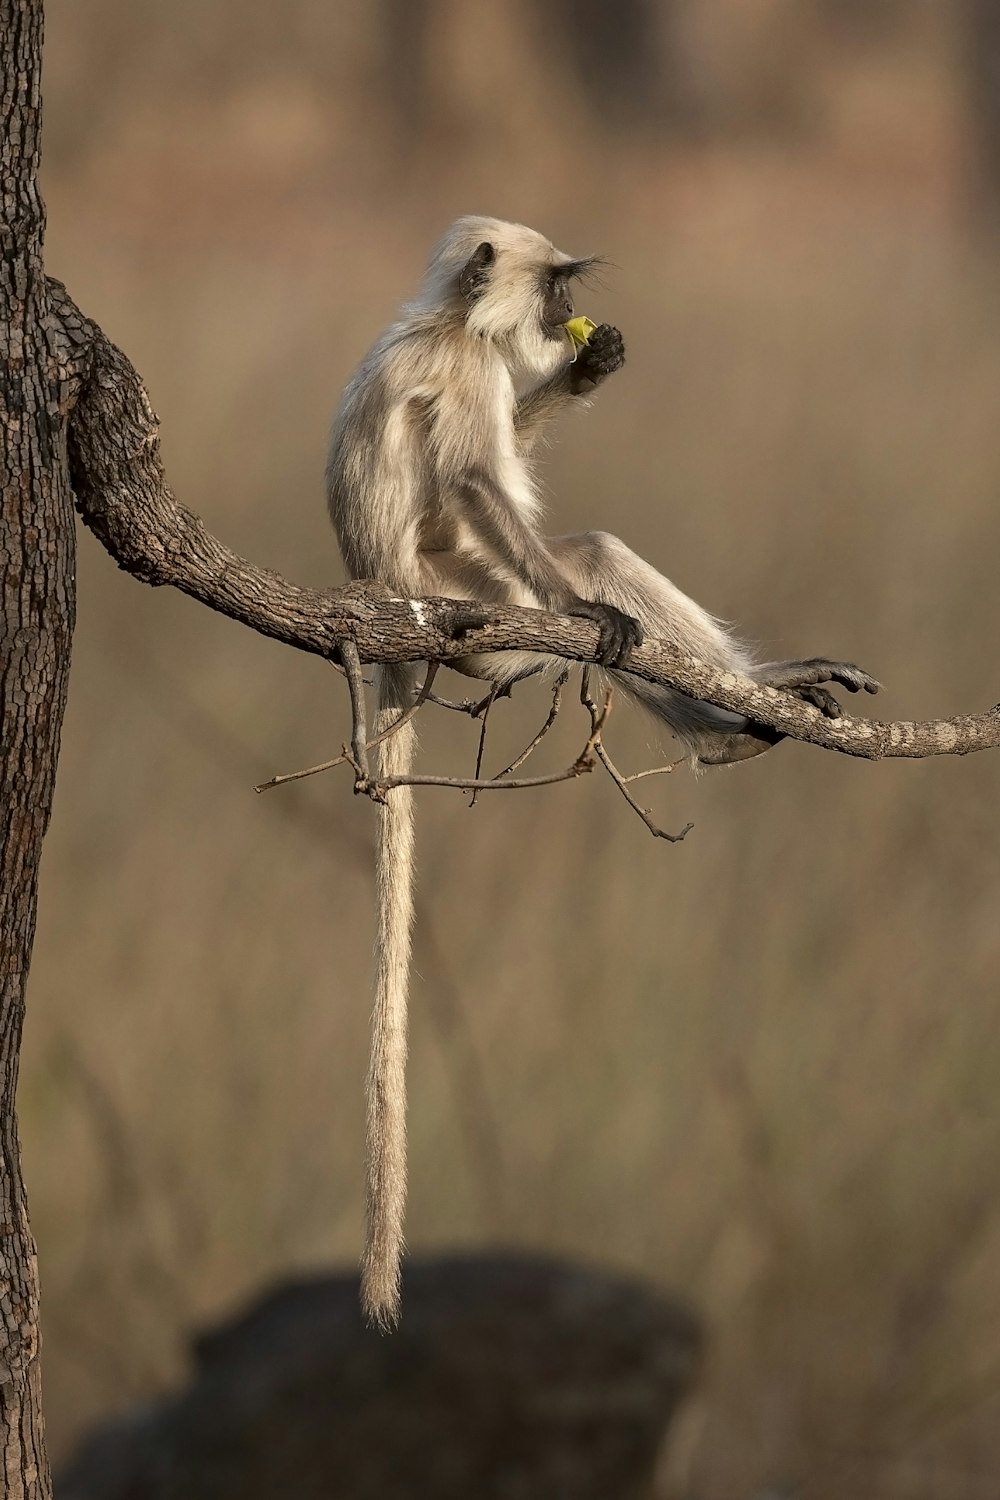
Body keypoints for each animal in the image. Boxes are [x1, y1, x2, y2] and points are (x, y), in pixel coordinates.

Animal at [326, 214, 875, 1326]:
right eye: (556, 282)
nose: (564, 317)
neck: (453, 320)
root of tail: (395, 619)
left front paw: (586, 372)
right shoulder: (463, 376)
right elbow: (478, 482)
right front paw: (592, 609)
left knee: (591, 547)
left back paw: (749, 707)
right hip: (483, 618)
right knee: (570, 563)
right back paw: (697, 697)